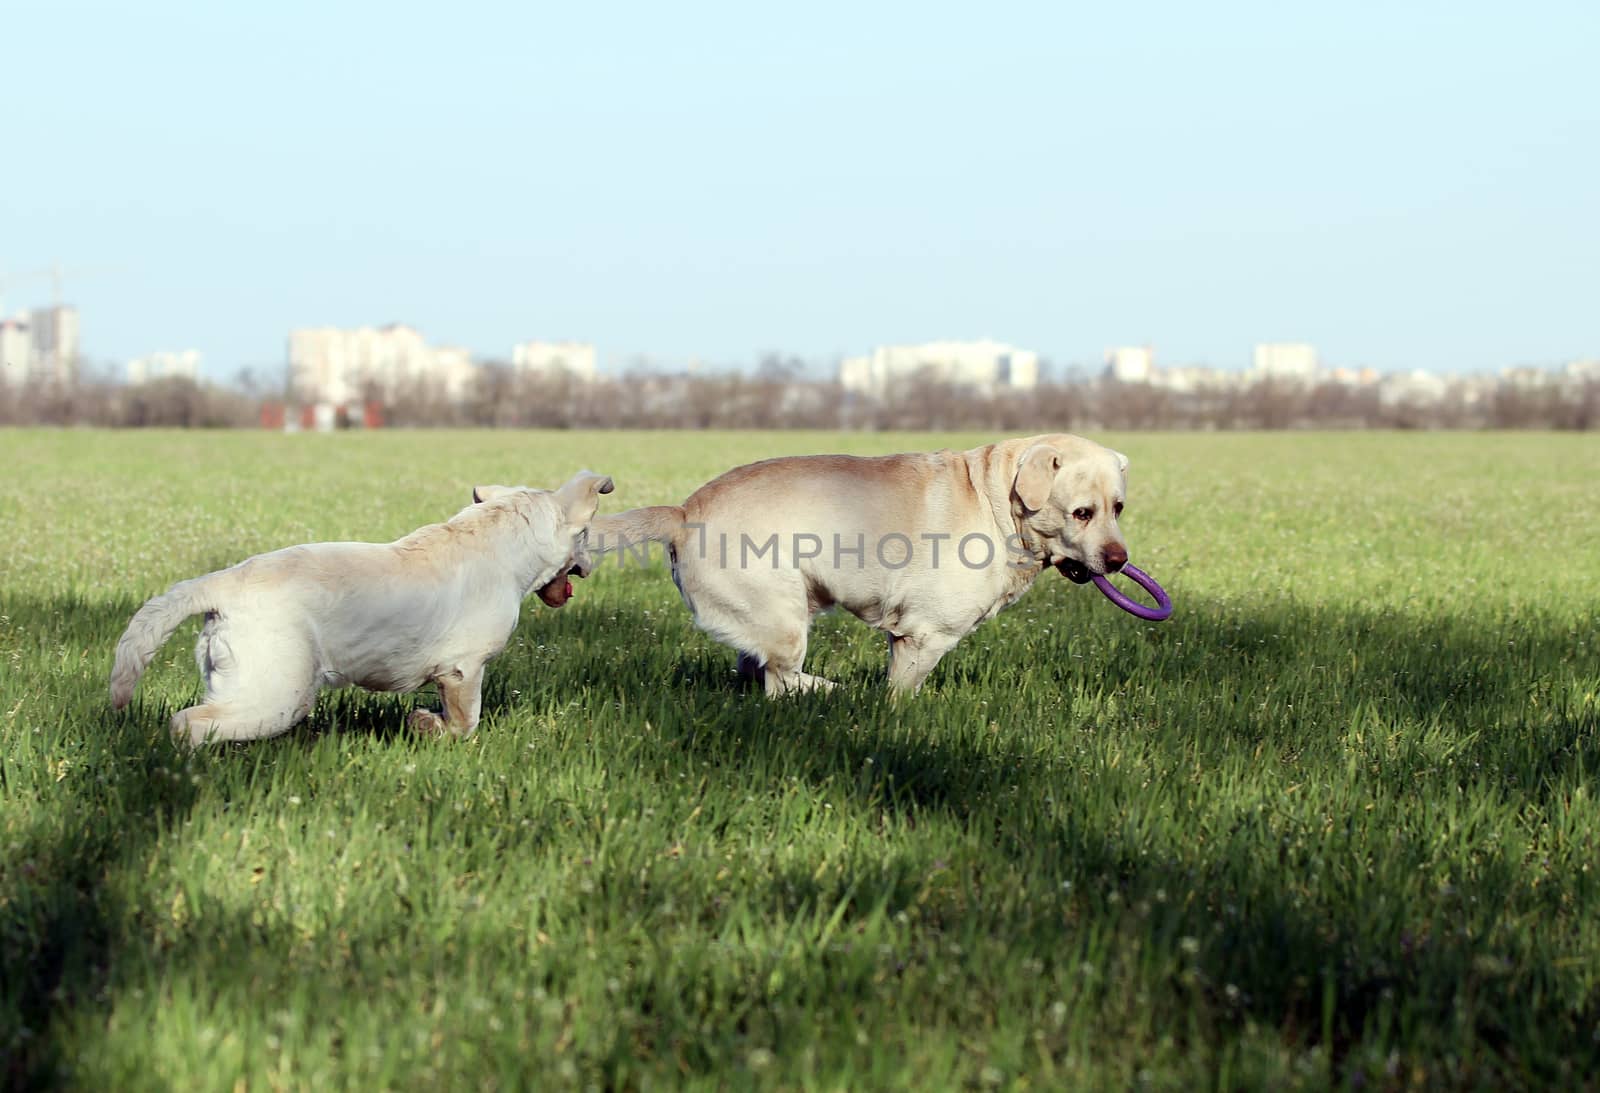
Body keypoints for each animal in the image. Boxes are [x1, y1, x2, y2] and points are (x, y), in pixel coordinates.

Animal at [111, 470, 611, 742]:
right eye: (585, 534)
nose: (590, 567)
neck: (503, 541)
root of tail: (223, 583)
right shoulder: (463, 670)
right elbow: (465, 721)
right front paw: (426, 726)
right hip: (274, 694)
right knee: (187, 724)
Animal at [595, 435, 1132, 691]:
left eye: (1119, 508)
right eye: (1082, 512)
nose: (1120, 560)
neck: (997, 501)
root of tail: (683, 513)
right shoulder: (923, 635)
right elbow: (900, 696)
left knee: (755, 673)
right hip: (786, 618)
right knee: (781, 681)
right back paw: (833, 690)